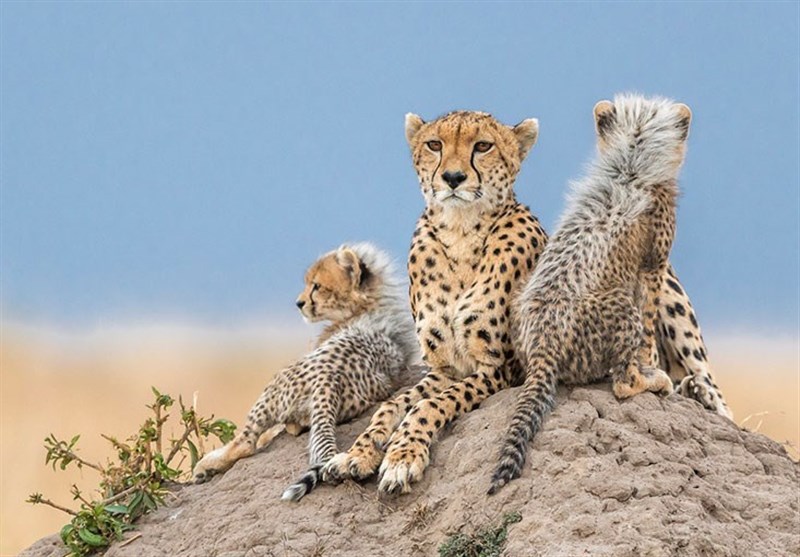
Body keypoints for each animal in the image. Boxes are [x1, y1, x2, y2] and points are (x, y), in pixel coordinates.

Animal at [194, 241, 418, 502]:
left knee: (246, 442)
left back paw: (206, 465)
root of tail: (330, 380)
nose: (299, 303)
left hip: (273, 387)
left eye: (317, 286)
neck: (370, 304)